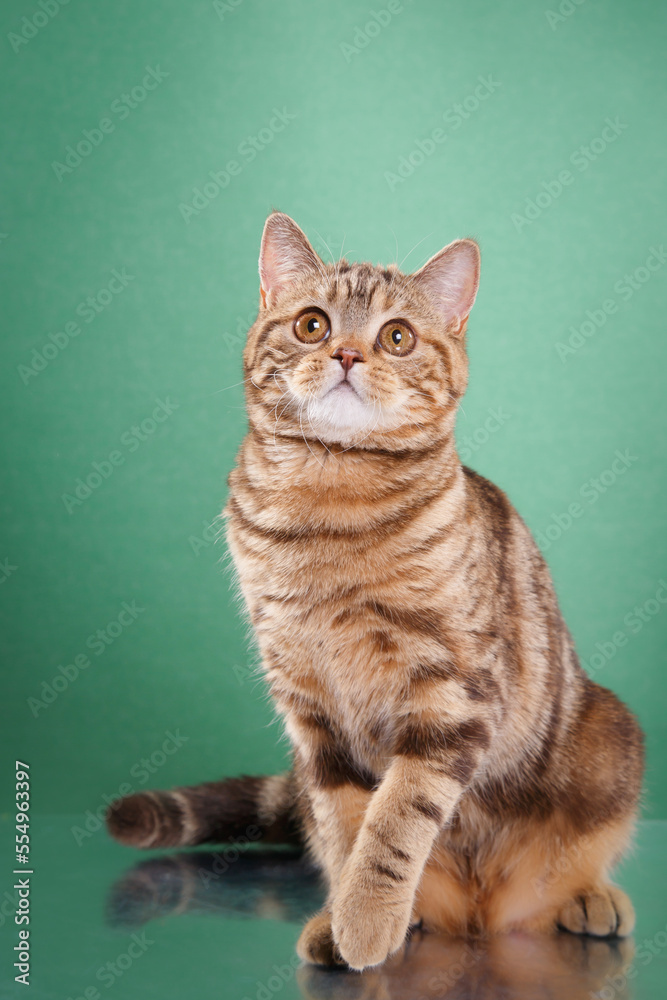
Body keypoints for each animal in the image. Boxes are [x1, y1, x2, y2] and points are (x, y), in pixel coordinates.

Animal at [107, 211, 644, 968]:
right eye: (311, 324)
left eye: (396, 336)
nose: (347, 355)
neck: (327, 502)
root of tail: (481, 917)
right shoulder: (312, 711)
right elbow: (346, 824)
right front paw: (348, 918)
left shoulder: (452, 694)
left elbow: (397, 817)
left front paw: (364, 918)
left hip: (608, 741)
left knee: (564, 871)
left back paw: (588, 899)